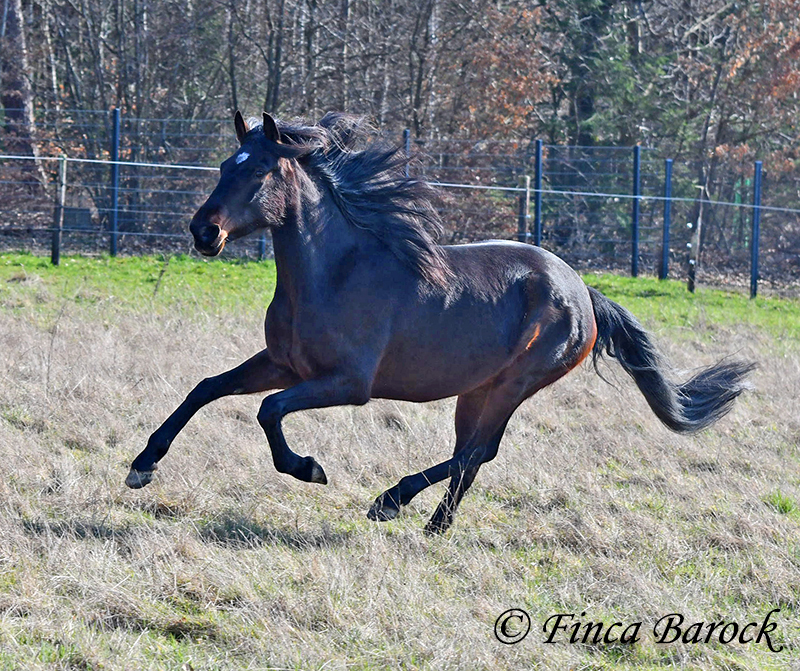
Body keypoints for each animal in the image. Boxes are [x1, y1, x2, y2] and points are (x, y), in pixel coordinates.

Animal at [125, 111, 754, 534]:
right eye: (224, 165)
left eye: (257, 170)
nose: (203, 231)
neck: (334, 273)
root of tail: (584, 293)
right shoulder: (284, 364)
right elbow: (207, 388)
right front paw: (142, 466)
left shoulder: (347, 384)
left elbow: (268, 411)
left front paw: (309, 469)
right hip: (476, 389)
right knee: (473, 454)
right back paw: (433, 525)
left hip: (514, 383)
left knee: (478, 452)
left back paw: (391, 502)